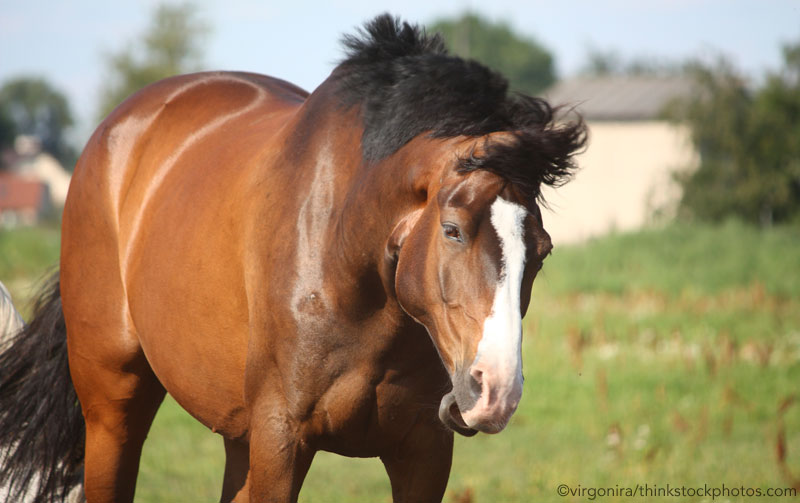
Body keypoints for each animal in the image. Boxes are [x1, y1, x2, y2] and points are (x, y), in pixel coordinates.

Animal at [0, 15, 588, 503]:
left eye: (542, 251)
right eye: (452, 230)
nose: (497, 391)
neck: (345, 259)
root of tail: (115, 132)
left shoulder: (422, 454)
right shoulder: (282, 441)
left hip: (238, 437)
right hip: (113, 410)